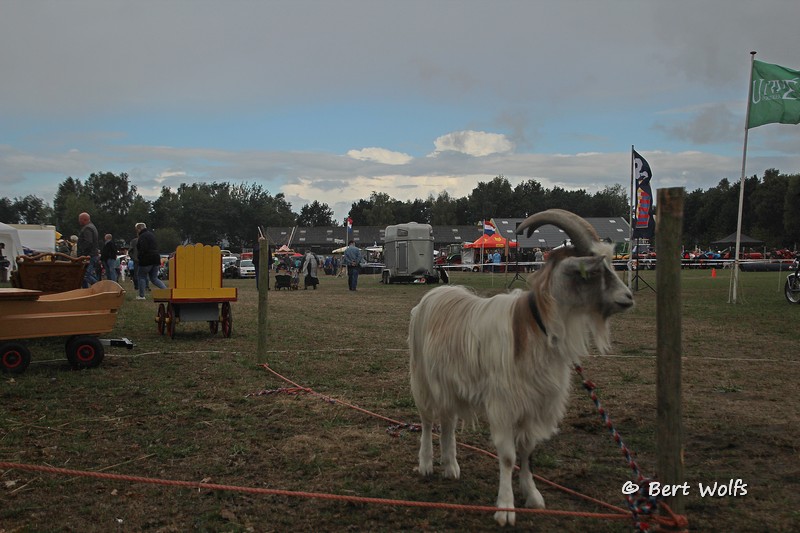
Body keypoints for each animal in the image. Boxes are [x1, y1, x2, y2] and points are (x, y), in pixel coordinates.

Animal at [408, 209, 634, 526]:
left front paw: (533, 496)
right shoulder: (504, 404)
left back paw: (451, 467)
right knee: (428, 420)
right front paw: (505, 507)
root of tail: (433, 295)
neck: (537, 327)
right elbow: (508, 456)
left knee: (448, 421)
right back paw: (427, 463)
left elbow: (527, 452)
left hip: (451, 383)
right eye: (593, 271)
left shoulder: (534, 403)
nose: (628, 298)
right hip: (423, 379)